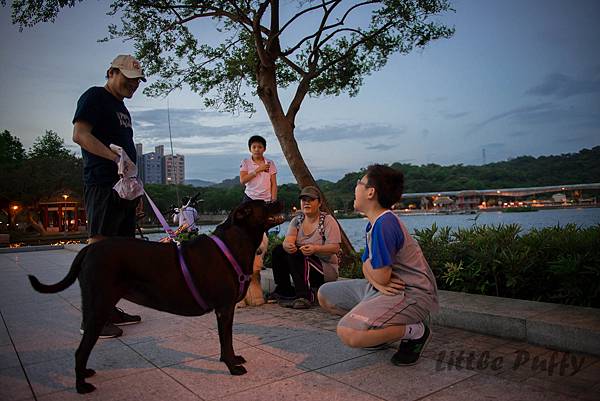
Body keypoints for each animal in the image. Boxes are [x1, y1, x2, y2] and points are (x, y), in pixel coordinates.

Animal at [29, 200, 288, 390]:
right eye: (264, 204)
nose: (281, 200)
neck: (235, 241)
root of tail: (87, 249)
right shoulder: (224, 309)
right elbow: (227, 343)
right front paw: (232, 367)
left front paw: (233, 361)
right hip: (99, 307)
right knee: (80, 350)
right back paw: (81, 385)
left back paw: (84, 374)